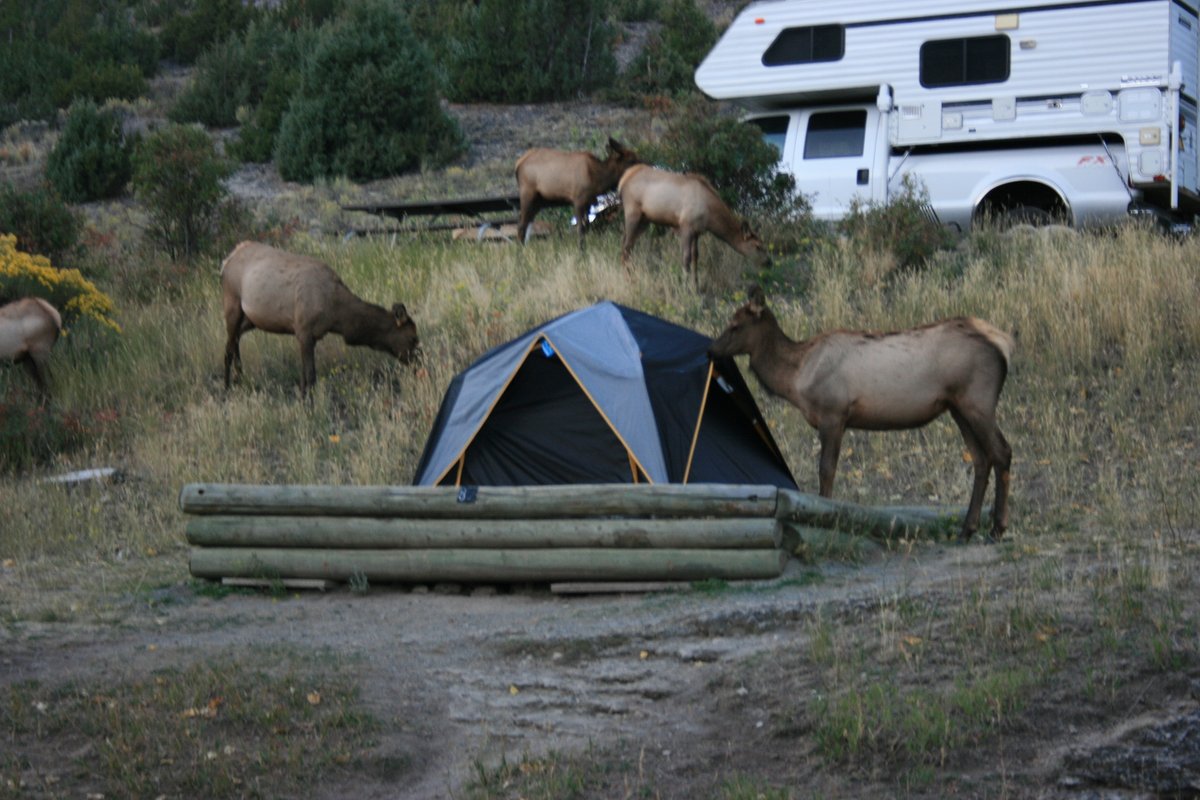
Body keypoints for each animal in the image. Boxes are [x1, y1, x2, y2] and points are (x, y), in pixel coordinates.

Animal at [222, 241, 422, 398]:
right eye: (413, 338)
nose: (420, 364)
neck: (337, 316)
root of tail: (227, 259)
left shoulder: (312, 335)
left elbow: (304, 376)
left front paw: (304, 401)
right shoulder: (303, 331)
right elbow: (311, 376)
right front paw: (310, 408)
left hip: (250, 319)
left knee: (235, 341)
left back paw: (241, 379)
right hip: (232, 303)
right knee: (228, 349)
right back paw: (227, 388)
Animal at [513, 137, 643, 245]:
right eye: (632, 160)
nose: (643, 167)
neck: (598, 180)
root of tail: (518, 163)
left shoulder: (589, 203)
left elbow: (587, 227)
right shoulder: (578, 199)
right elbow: (580, 229)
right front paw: (581, 252)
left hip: (539, 201)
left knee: (525, 225)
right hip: (527, 194)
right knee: (521, 226)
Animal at [619, 163, 768, 291]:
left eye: (763, 245)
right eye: (757, 246)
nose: (769, 262)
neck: (710, 217)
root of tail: (624, 178)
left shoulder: (697, 232)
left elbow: (696, 257)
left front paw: (695, 286)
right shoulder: (686, 227)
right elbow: (686, 258)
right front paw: (684, 288)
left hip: (644, 221)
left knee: (627, 245)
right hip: (633, 213)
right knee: (626, 247)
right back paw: (628, 280)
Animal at [705, 284, 1017, 542]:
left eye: (735, 325)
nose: (710, 351)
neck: (796, 379)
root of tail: (1004, 344)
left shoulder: (833, 413)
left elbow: (826, 469)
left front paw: (825, 516)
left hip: (978, 401)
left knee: (1002, 451)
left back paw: (998, 528)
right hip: (958, 407)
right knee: (981, 459)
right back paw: (967, 529)